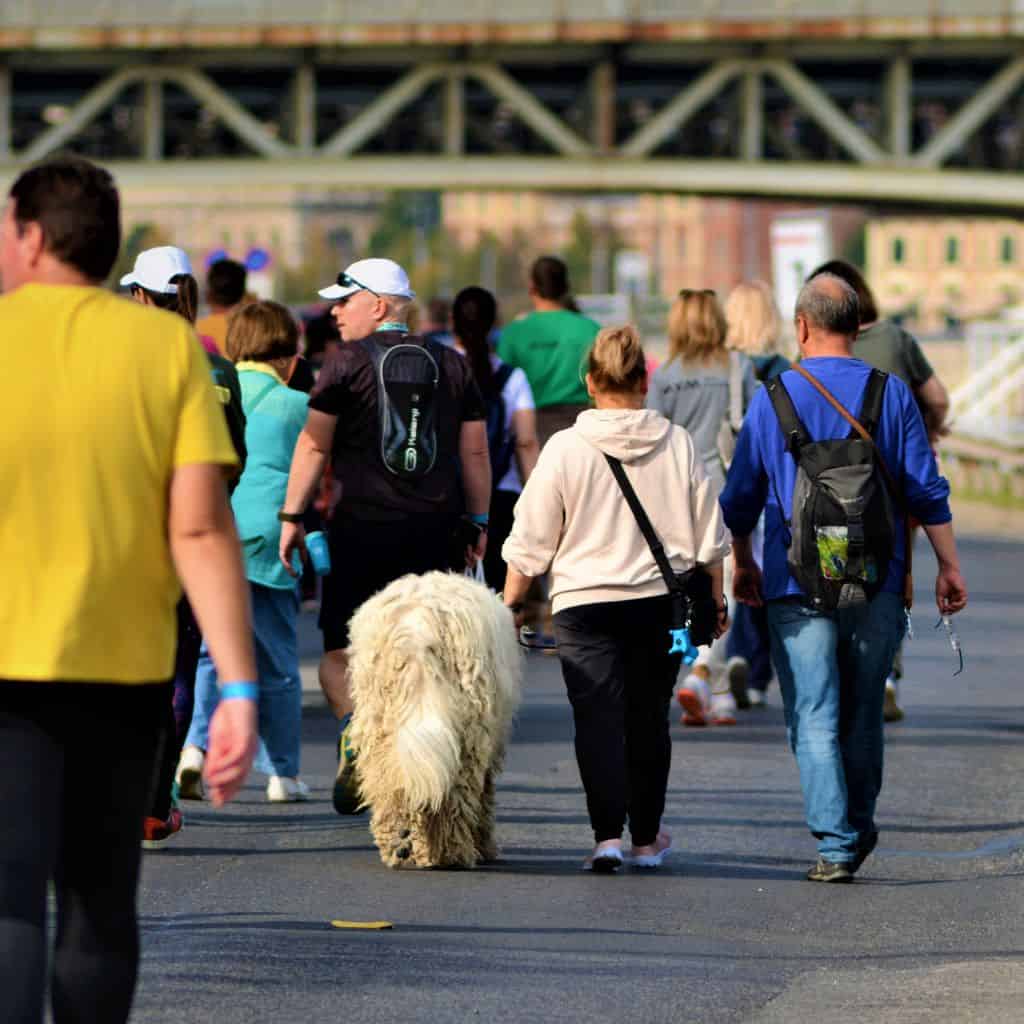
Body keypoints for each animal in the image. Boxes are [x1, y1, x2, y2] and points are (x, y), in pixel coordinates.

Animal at [346, 573, 520, 868]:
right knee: (458, 798)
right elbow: (486, 798)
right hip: (470, 731)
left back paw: (399, 845)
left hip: (379, 720)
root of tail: (418, 627)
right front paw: (485, 846)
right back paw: (453, 853)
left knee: (389, 788)